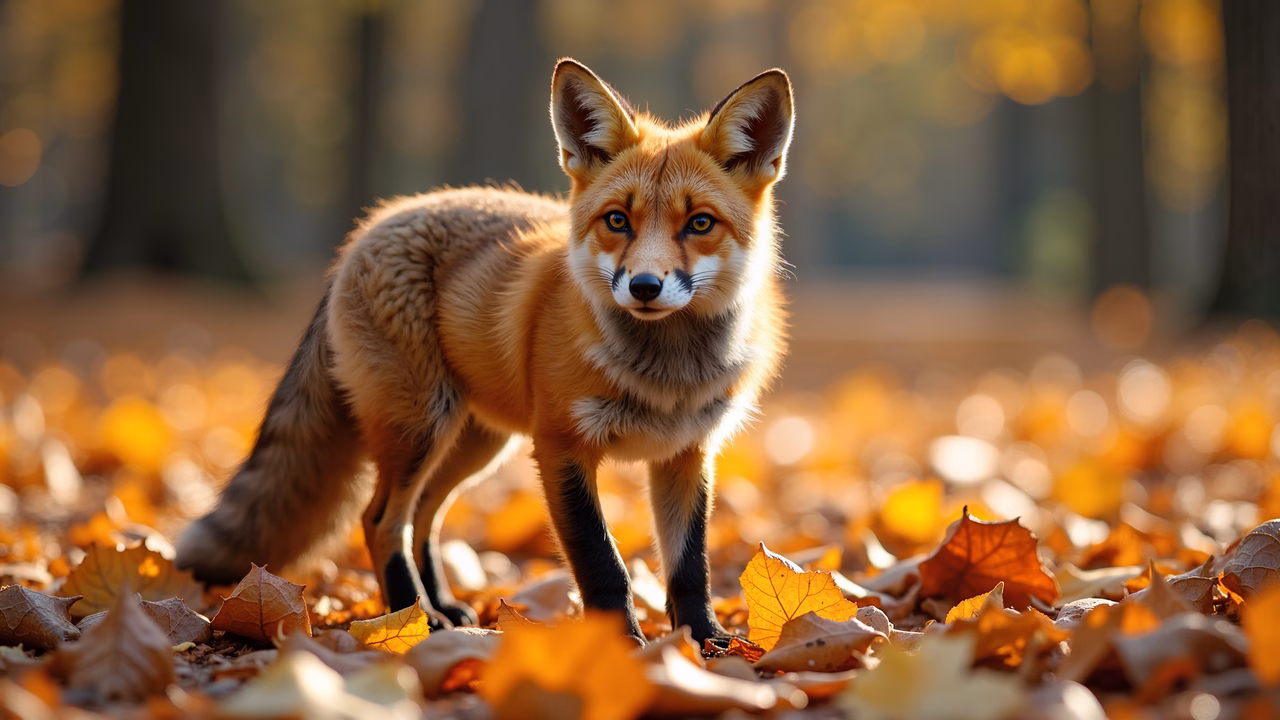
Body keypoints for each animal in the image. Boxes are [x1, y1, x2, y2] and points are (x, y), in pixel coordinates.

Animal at [174, 59, 794, 646]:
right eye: (618, 220)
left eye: (700, 223)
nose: (643, 286)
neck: (666, 377)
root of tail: (369, 227)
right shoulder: (561, 447)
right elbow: (602, 564)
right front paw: (620, 644)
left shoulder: (687, 453)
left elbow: (690, 566)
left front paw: (706, 641)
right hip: (422, 426)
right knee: (380, 520)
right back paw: (414, 617)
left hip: (473, 441)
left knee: (421, 518)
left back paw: (439, 606)